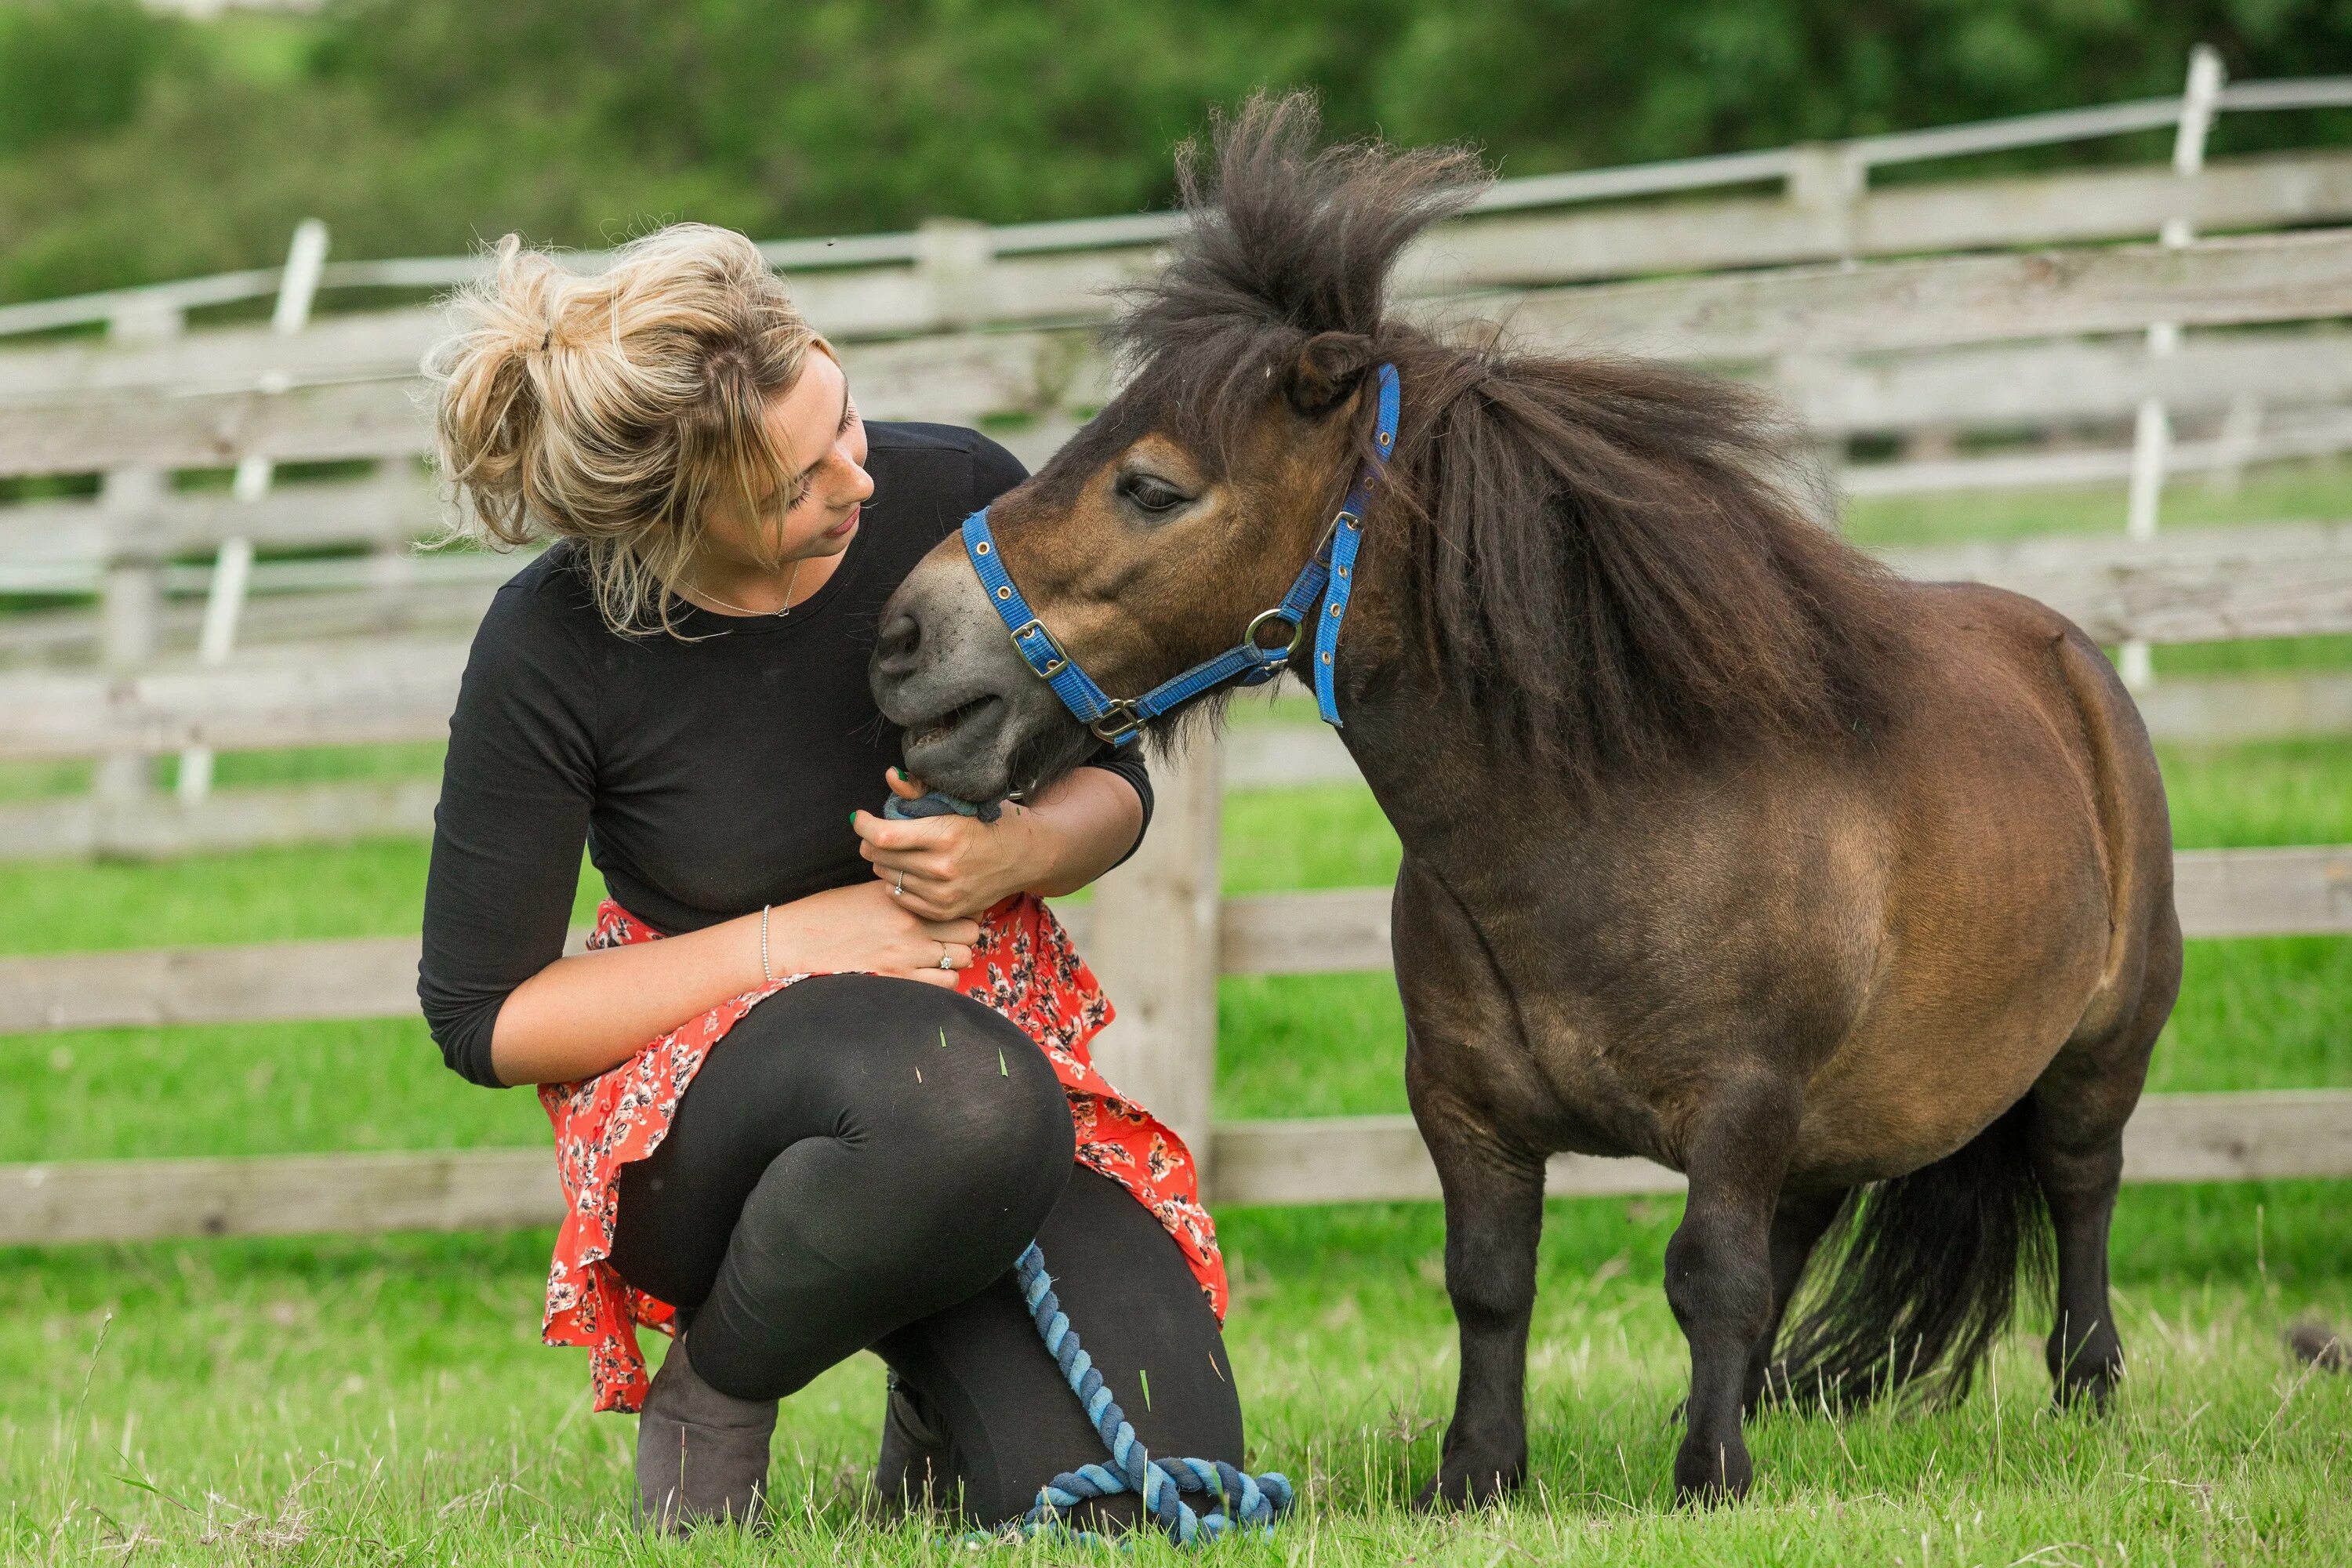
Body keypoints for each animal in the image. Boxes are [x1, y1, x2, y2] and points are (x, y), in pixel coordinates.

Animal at [875, 100, 2173, 1504]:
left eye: (1154, 487)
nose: (903, 637)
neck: (1593, 833)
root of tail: (2069, 659)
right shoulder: (1468, 1110)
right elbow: (1492, 1286)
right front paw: (1477, 1474)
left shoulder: (1742, 1103)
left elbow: (1709, 1277)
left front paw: (1710, 1480)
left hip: (2101, 1050)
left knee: (2081, 1186)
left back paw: (2087, 1390)